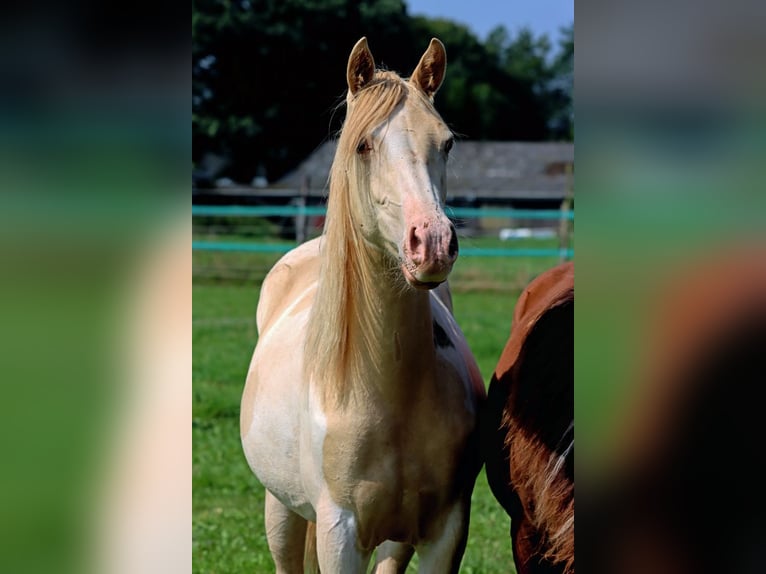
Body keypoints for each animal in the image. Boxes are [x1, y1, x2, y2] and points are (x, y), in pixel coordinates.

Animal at [240, 38, 486, 572]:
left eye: (447, 144)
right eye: (363, 145)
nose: (432, 243)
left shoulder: (446, 531)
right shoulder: (339, 532)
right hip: (281, 511)